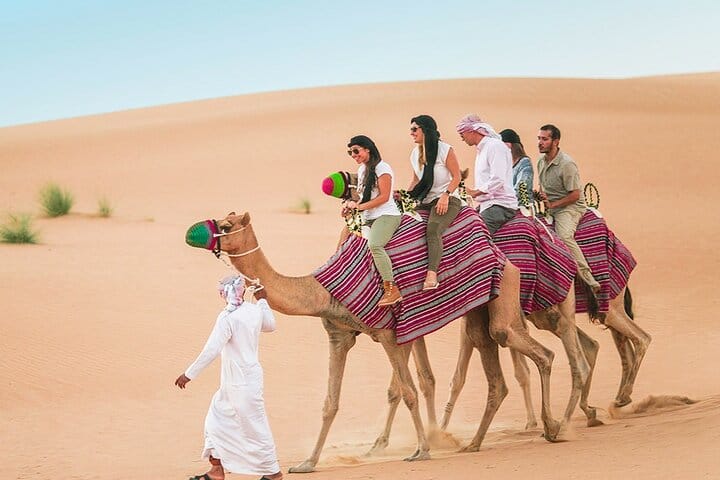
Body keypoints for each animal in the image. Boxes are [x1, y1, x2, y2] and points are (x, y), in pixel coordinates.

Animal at [185, 211, 563, 473]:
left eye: (227, 224)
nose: (194, 233)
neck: (320, 290)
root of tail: (499, 250)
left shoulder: (388, 334)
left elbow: (407, 391)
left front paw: (421, 450)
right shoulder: (339, 336)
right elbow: (330, 402)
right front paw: (307, 463)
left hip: (505, 292)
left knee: (534, 349)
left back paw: (553, 426)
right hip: (478, 310)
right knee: (496, 368)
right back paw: (475, 443)